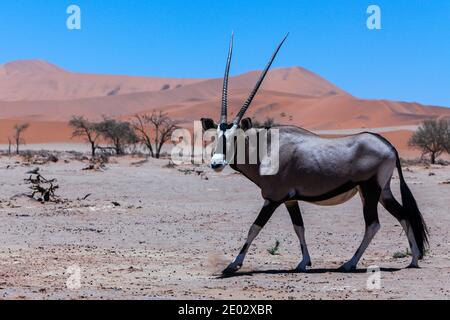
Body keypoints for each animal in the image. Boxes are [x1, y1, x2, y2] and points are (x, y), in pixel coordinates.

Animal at [201, 35, 428, 276]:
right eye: (215, 136)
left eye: (235, 137)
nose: (216, 163)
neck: (266, 148)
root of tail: (389, 145)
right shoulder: (290, 200)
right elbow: (299, 227)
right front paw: (304, 262)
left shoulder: (273, 198)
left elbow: (254, 228)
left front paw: (233, 264)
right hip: (381, 191)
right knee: (403, 215)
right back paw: (413, 259)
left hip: (370, 189)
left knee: (373, 224)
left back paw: (350, 263)